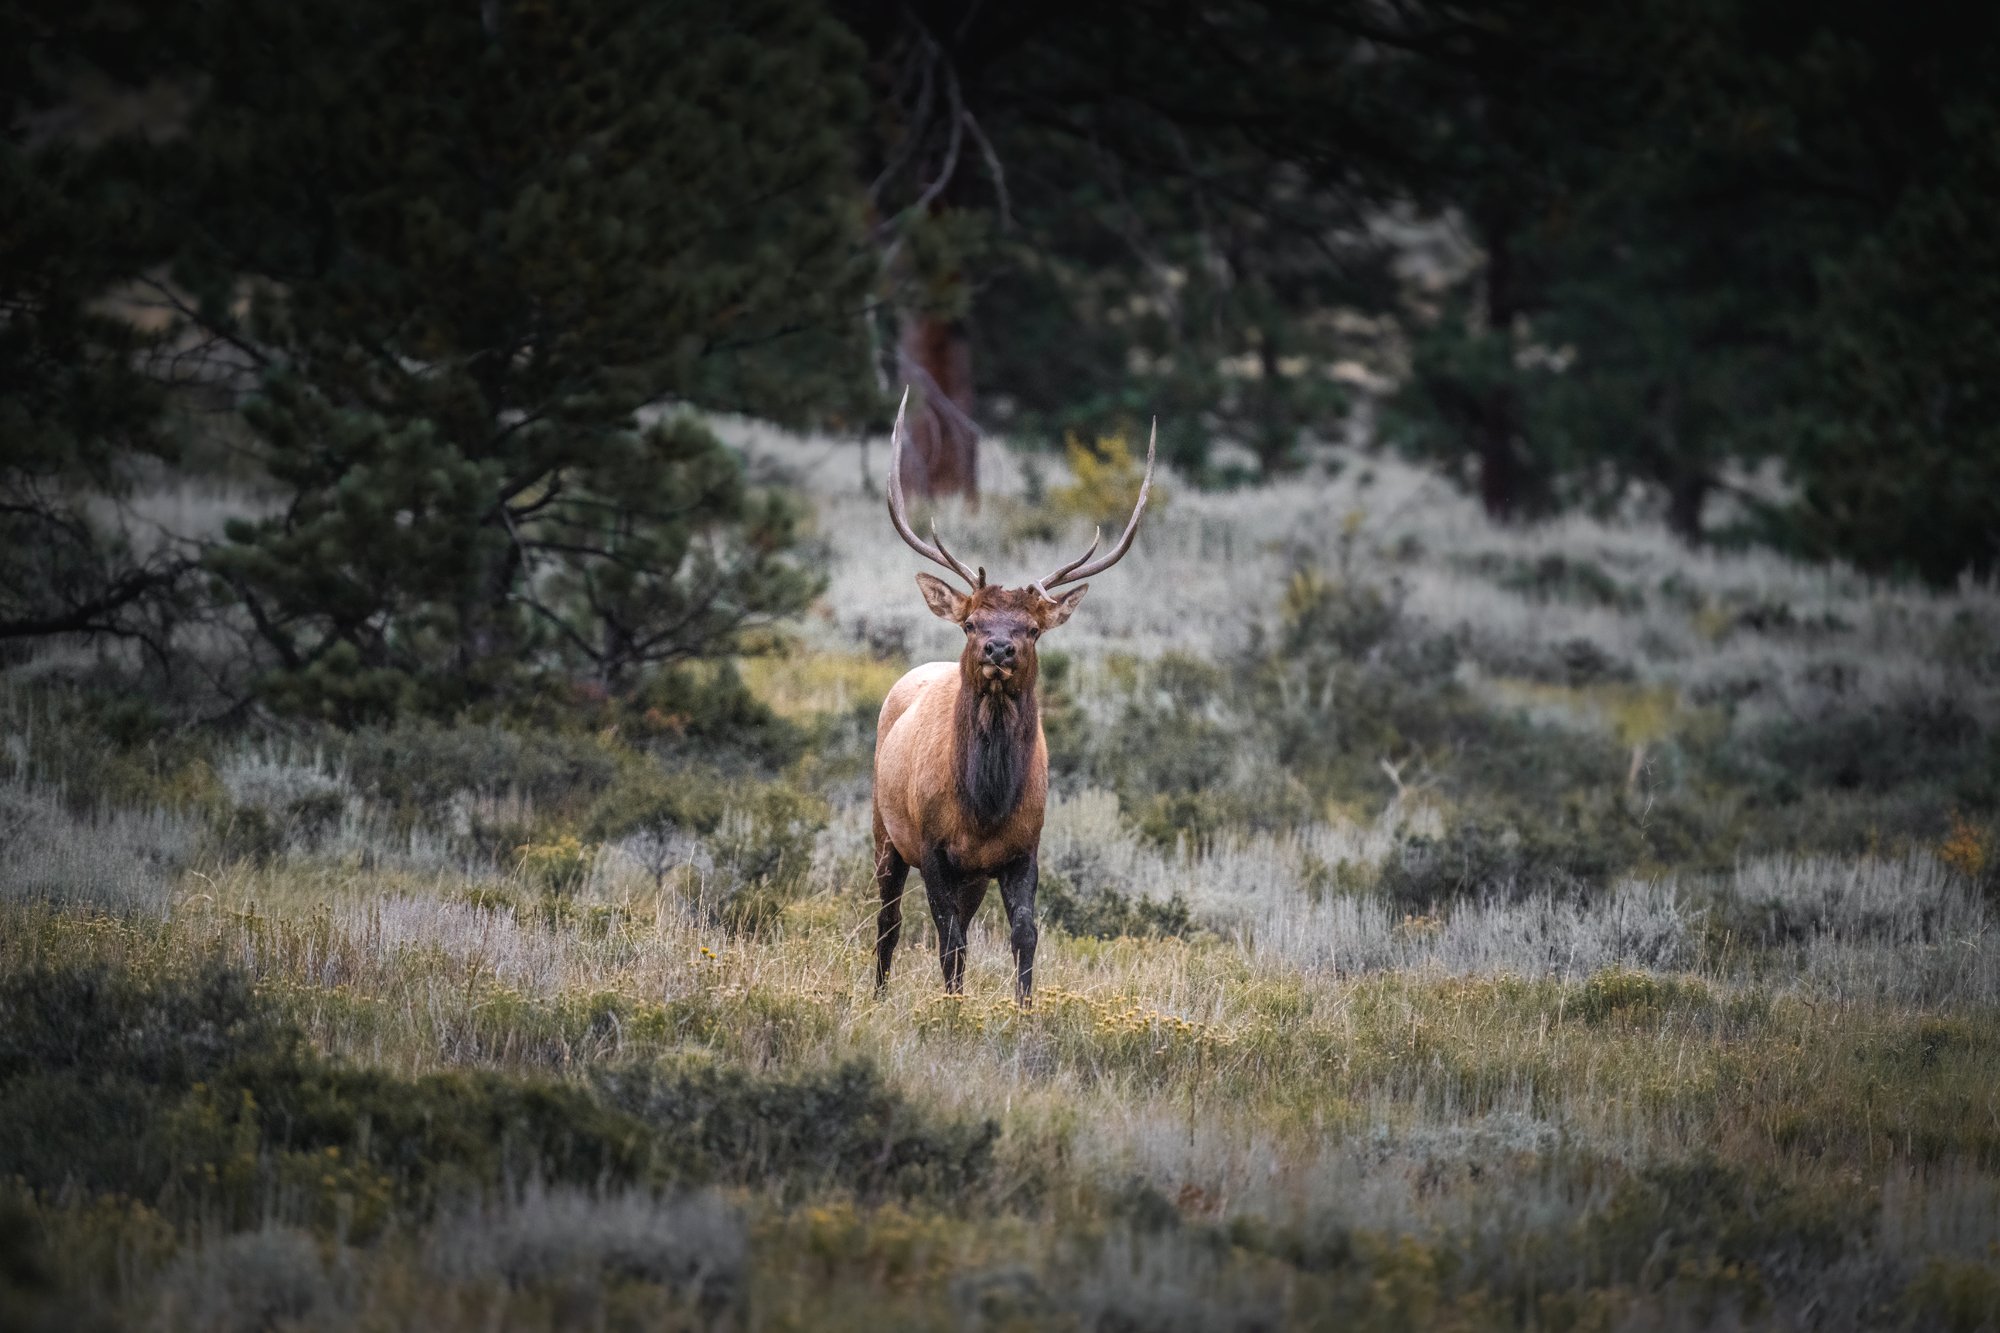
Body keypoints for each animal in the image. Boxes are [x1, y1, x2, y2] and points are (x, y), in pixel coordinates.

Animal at [872, 387, 1155, 1006]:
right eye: (971, 622)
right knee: (889, 923)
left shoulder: (1024, 850)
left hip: (972, 873)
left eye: (1031, 628)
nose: (998, 648)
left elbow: (1024, 936)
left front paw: (1024, 1011)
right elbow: (948, 942)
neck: (985, 804)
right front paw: (951, 1013)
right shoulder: (933, 848)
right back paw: (876, 995)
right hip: (884, 830)